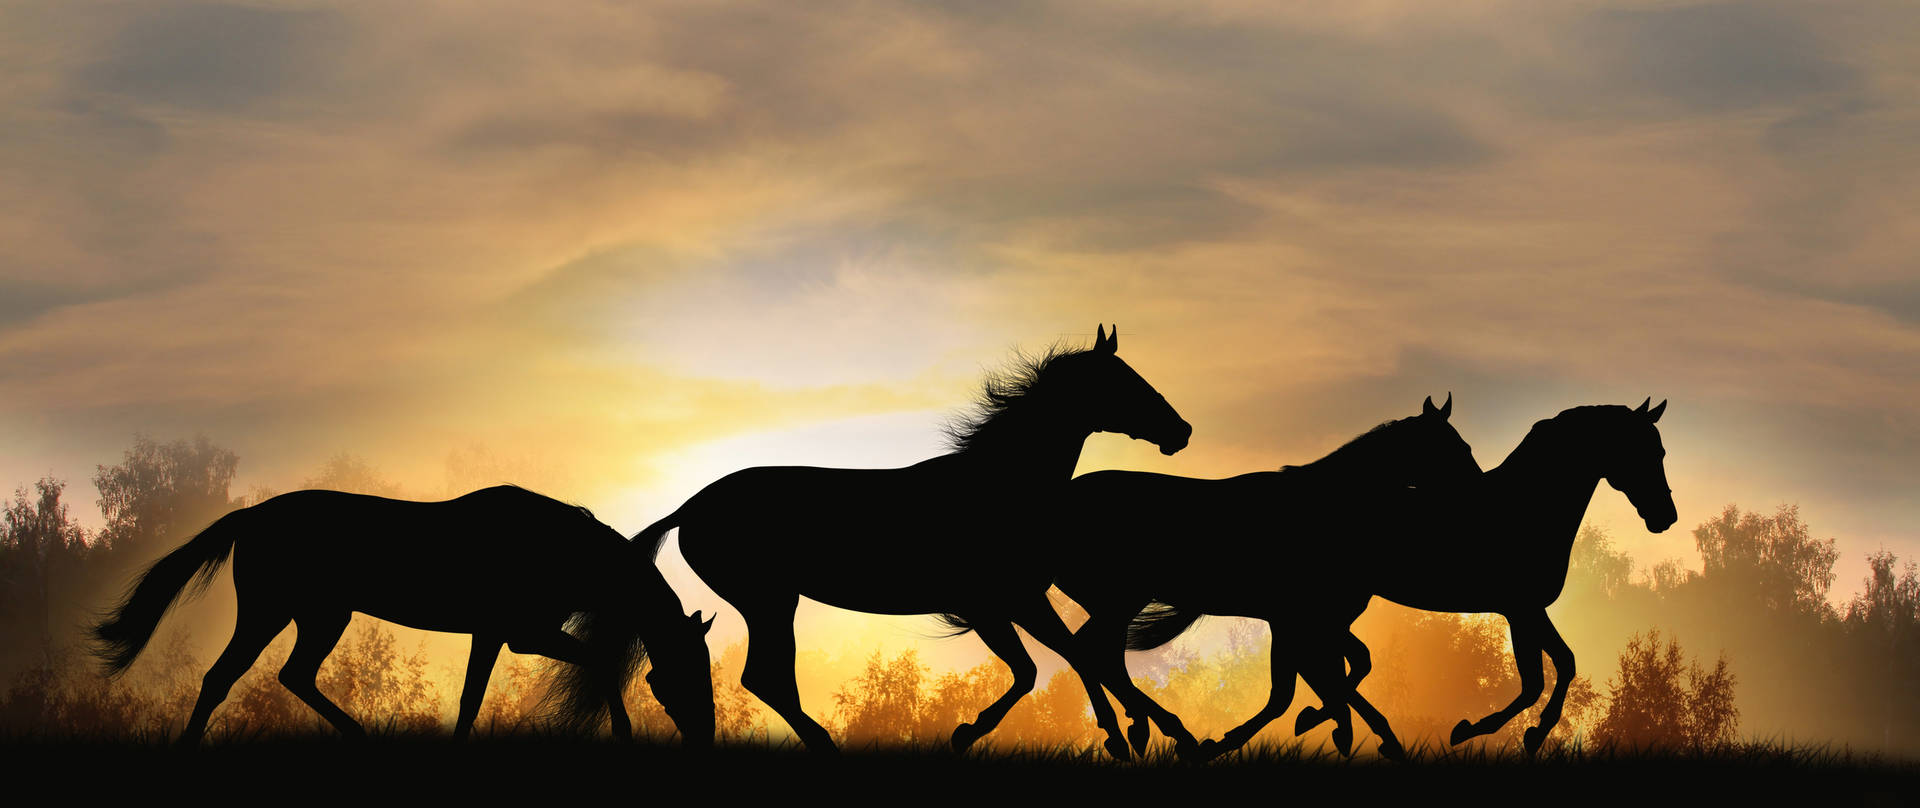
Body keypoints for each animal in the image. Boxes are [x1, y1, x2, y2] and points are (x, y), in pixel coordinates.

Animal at [91, 484, 717, 746]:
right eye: (683, 675)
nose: (706, 735)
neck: (559, 549)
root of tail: (253, 514)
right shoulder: (519, 632)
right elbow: (595, 665)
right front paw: (624, 732)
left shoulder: (499, 634)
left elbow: (471, 697)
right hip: (272, 612)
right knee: (222, 677)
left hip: (322, 616)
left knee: (293, 675)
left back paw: (360, 734)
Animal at [630, 325, 1191, 756]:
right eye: (1123, 382)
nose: (1181, 430)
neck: (999, 486)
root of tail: (692, 506)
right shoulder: (989, 605)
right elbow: (1040, 667)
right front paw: (969, 733)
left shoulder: (1021, 599)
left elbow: (1069, 656)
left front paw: (1135, 734)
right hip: (768, 600)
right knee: (764, 678)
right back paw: (827, 745)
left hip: (769, 602)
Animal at [1054, 395, 1482, 760]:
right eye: (1456, 449)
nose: (1478, 492)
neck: (1328, 510)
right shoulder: (1296, 619)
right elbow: (1294, 690)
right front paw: (1232, 740)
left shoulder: (1311, 620)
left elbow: (1343, 669)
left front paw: (1361, 732)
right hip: (1119, 600)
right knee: (1092, 652)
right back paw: (1165, 735)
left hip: (1112, 603)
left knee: (1099, 656)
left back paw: (1148, 732)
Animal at [1117, 400, 1676, 760]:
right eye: (1641, 450)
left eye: (1662, 452)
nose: (1664, 518)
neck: (1524, 506)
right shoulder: (1521, 608)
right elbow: (1542, 676)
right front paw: (1479, 730)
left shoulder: (1526, 610)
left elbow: (1558, 666)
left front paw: (1520, 734)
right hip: (1326, 608)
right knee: (1320, 670)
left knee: (1324, 669)